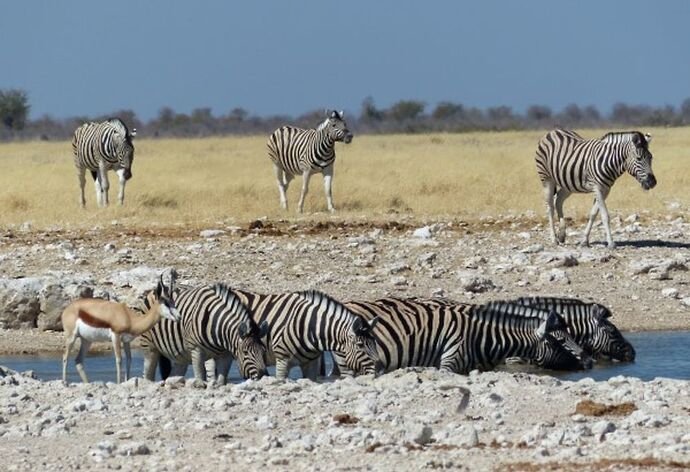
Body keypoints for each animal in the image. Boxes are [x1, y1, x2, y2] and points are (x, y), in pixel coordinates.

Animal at [140, 280, 268, 384]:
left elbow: (221, 380)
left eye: (263, 351)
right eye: (246, 353)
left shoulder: (226, 355)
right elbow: (200, 376)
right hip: (149, 347)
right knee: (148, 373)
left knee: (175, 373)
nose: (264, 376)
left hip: (180, 354)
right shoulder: (196, 350)